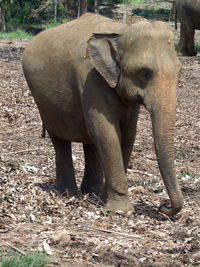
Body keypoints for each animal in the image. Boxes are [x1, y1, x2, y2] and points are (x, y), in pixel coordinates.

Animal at [21, 13, 183, 218]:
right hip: (43, 103)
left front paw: (105, 200)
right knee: (60, 141)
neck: (120, 32)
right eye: (145, 73)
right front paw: (121, 211)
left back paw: (92, 193)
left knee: (90, 142)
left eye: (179, 70)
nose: (163, 205)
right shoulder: (91, 79)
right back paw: (66, 193)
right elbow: (107, 133)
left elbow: (128, 135)